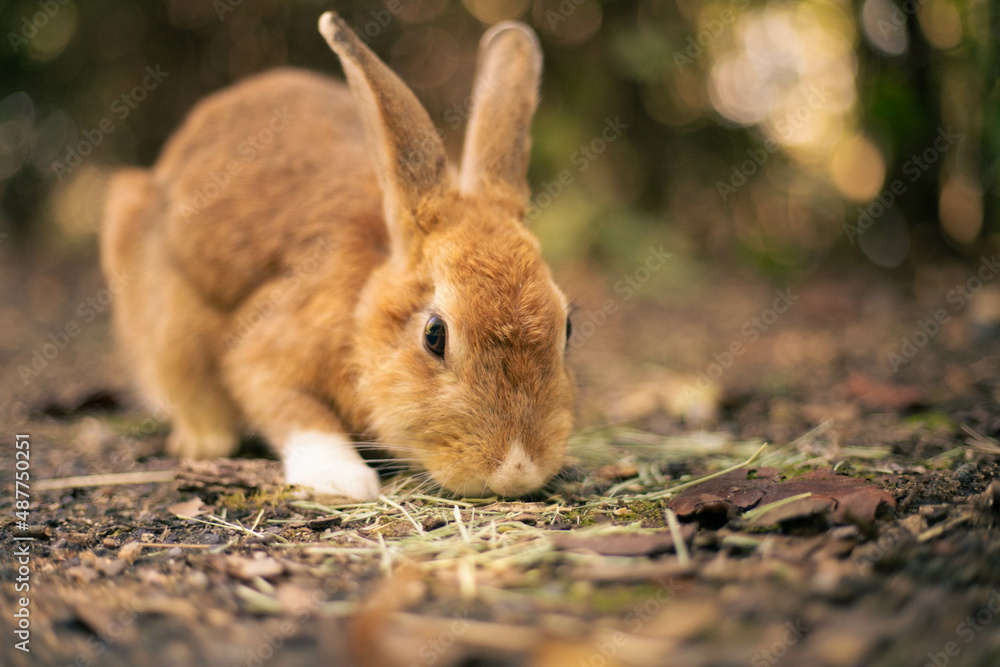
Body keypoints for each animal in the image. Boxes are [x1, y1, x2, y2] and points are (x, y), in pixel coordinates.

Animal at [100, 10, 576, 501]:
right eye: (434, 335)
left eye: (567, 328)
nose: (516, 469)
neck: (359, 310)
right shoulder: (261, 350)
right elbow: (292, 407)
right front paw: (341, 478)